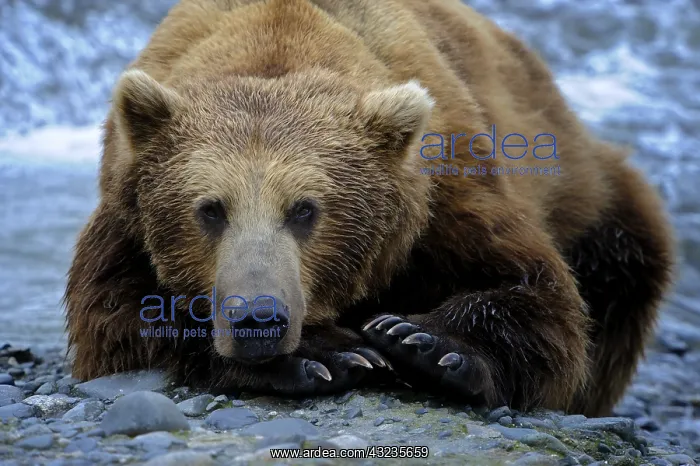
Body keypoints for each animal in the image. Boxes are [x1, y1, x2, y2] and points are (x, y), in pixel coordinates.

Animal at [64, 0, 675, 418]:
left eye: (305, 210)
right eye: (211, 209)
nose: (259, 318)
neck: (278, 41)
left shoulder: (441, 196)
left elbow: (541, 297)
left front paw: (421, 341)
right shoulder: (124, 219)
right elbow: (117, 319)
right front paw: (326, 354)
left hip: (594, 195)